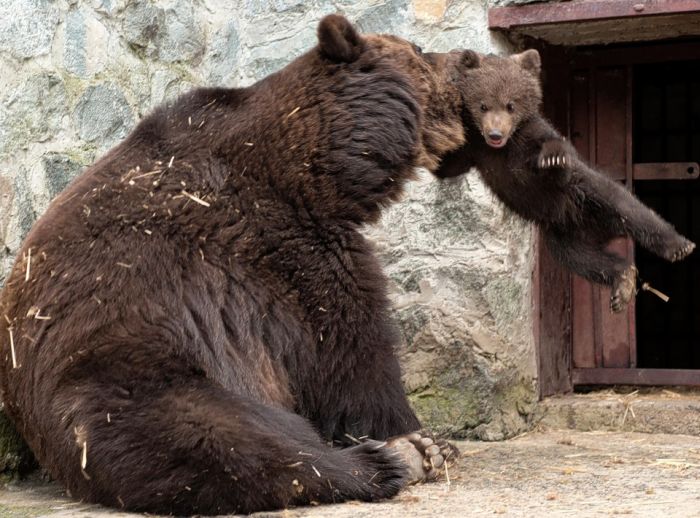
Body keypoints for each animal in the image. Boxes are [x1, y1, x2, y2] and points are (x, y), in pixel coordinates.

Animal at [1, 14, 470, 516]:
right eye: (419, 48)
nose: (466, 57)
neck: (317, 168)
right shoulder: (287, 249)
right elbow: (353, 354)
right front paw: (417, 434)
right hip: (124, 372)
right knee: (222, 439)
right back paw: (386, 461)